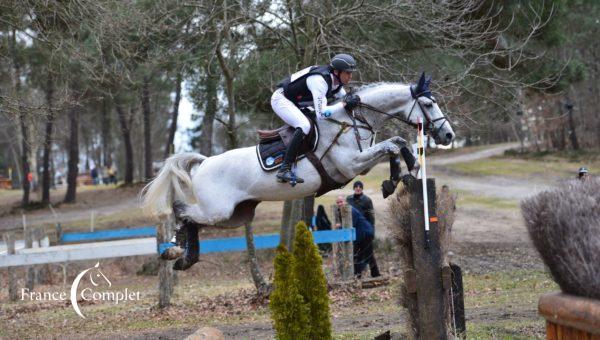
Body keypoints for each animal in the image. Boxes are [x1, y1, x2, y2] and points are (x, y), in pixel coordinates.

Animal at [143, 73, 454, 270]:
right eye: (428, 104)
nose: (449, 135)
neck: (353, 120)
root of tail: (205, 162)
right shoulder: (352, 164)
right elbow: (391, 145)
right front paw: (400, 174)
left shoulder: (361, 165)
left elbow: (396, 144)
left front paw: (405, 172)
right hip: (217, 210)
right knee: (182, 211)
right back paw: (174, 250)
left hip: (235, 215)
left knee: (193, 220)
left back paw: (185, 257)